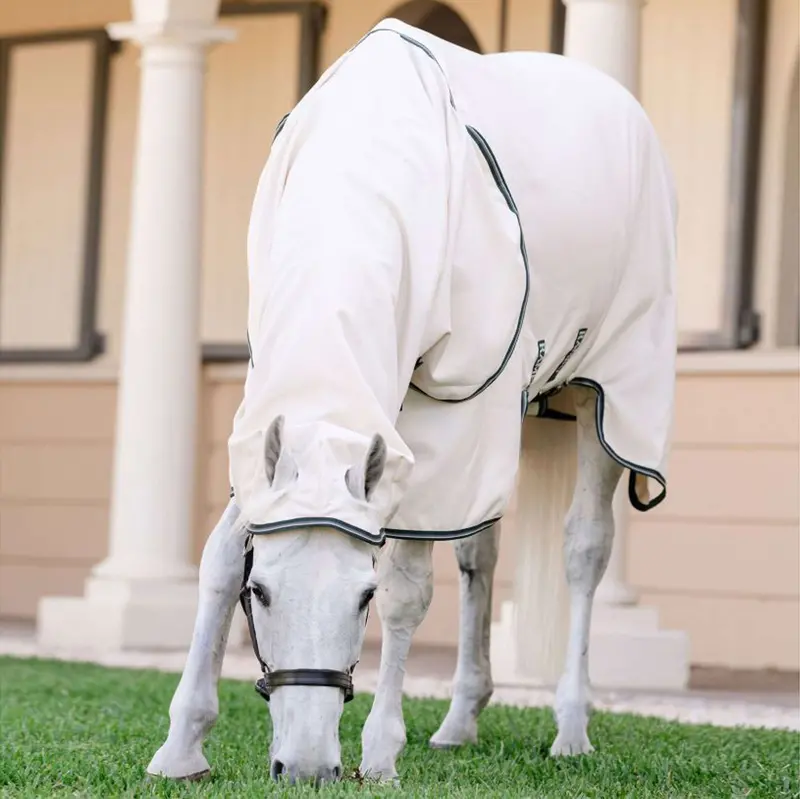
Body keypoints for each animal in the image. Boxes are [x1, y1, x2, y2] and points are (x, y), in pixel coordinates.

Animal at [146, 18, 677, 786]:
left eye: (361, 597)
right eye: (261, 591)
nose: (306, 767)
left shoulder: (456, 413)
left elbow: (409, 588)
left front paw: (380, 750)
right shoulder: (276, 413)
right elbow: (218, 558)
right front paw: (181, 747)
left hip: (602, 394)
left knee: (584, 547)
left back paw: (571, 728)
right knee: (479, 551)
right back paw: (460, 721)